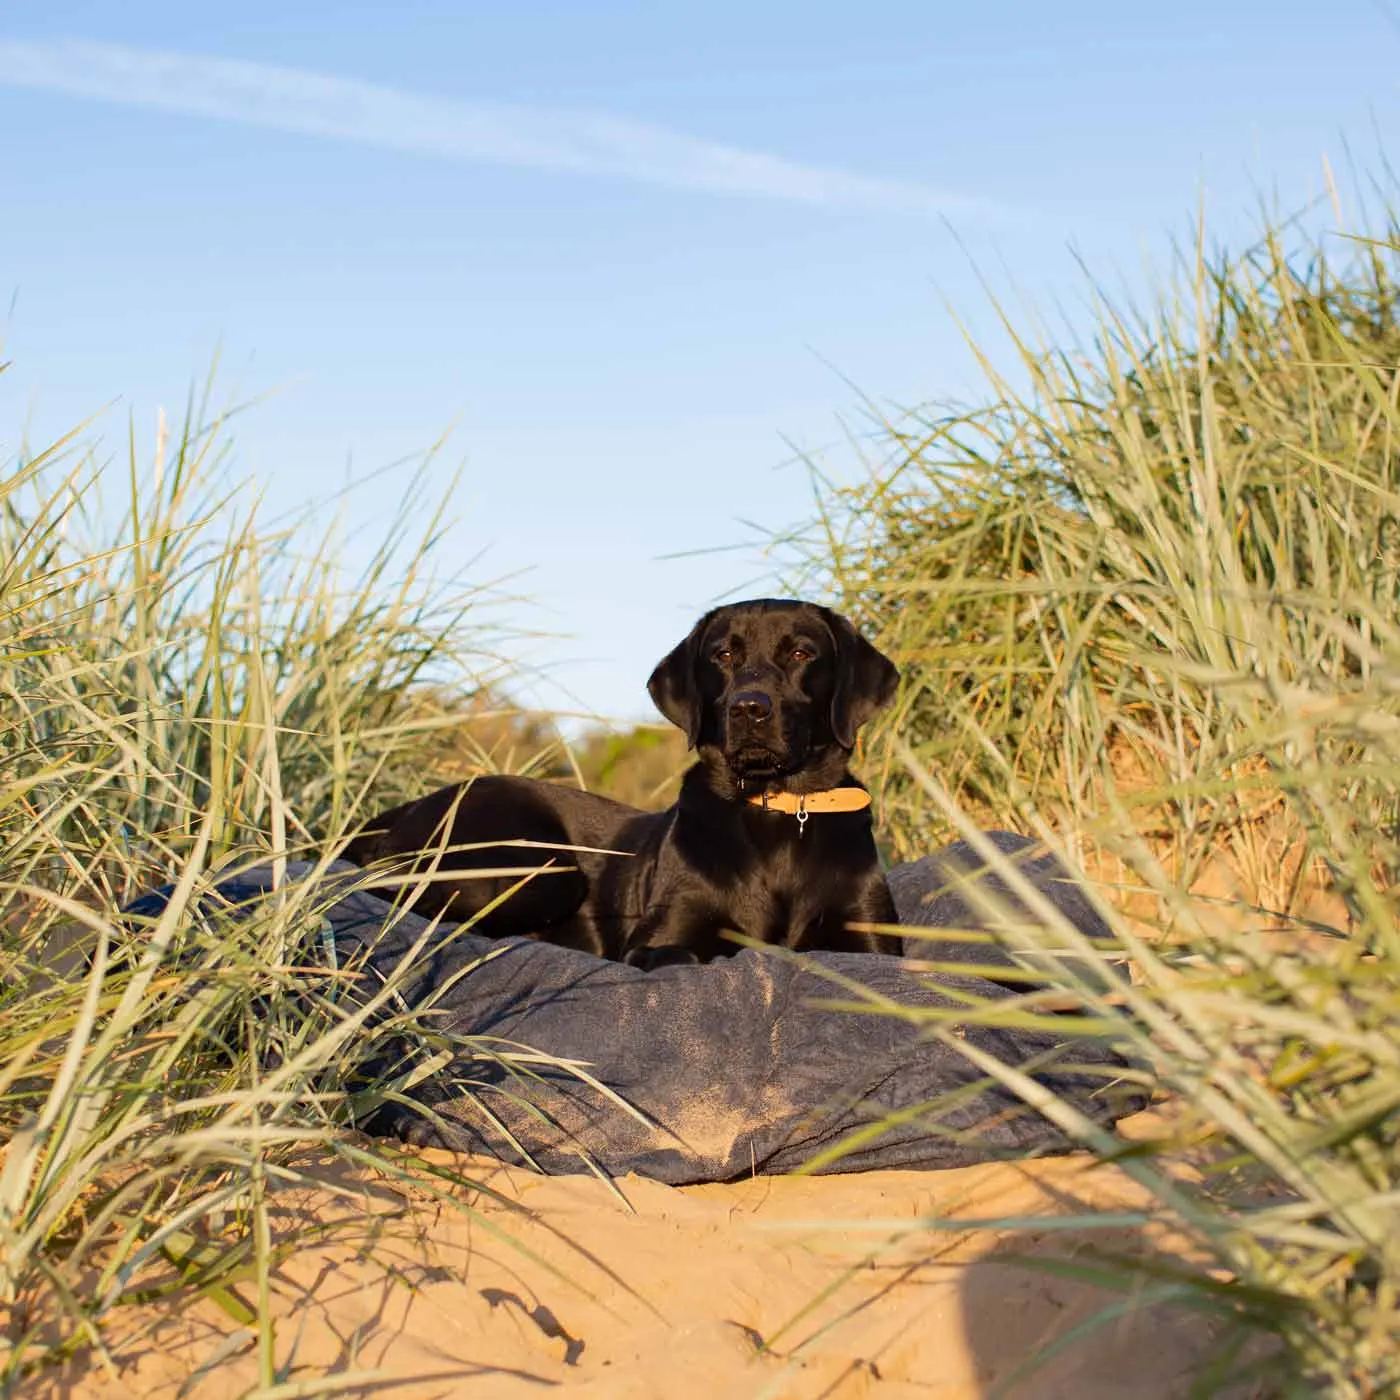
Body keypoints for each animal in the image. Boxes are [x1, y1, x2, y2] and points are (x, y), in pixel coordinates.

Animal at [344, 596, 901, 968]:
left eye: (802, 654)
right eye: (722, 655)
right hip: (536, 867)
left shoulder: (872, 943)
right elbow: (686, 956)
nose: (749, 708)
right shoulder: (662, 938)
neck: (777, 811)